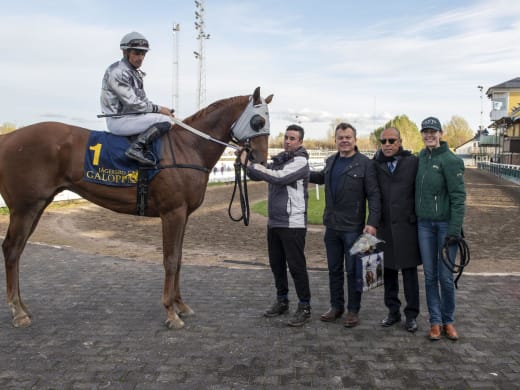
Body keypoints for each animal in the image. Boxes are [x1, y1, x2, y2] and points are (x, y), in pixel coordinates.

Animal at [0, 86, 274, 330]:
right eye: (258, 121)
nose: (261, 160)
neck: (187, 147)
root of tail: (8, 137)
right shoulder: (172, 212)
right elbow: (170, 259)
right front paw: (171, 313)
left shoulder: (183, 214)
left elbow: (180, 258)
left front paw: (181, 305)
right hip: (25, 207)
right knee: (12, 249)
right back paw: (17, 312)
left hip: (37, 205)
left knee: (18, 249)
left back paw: (23, 307)